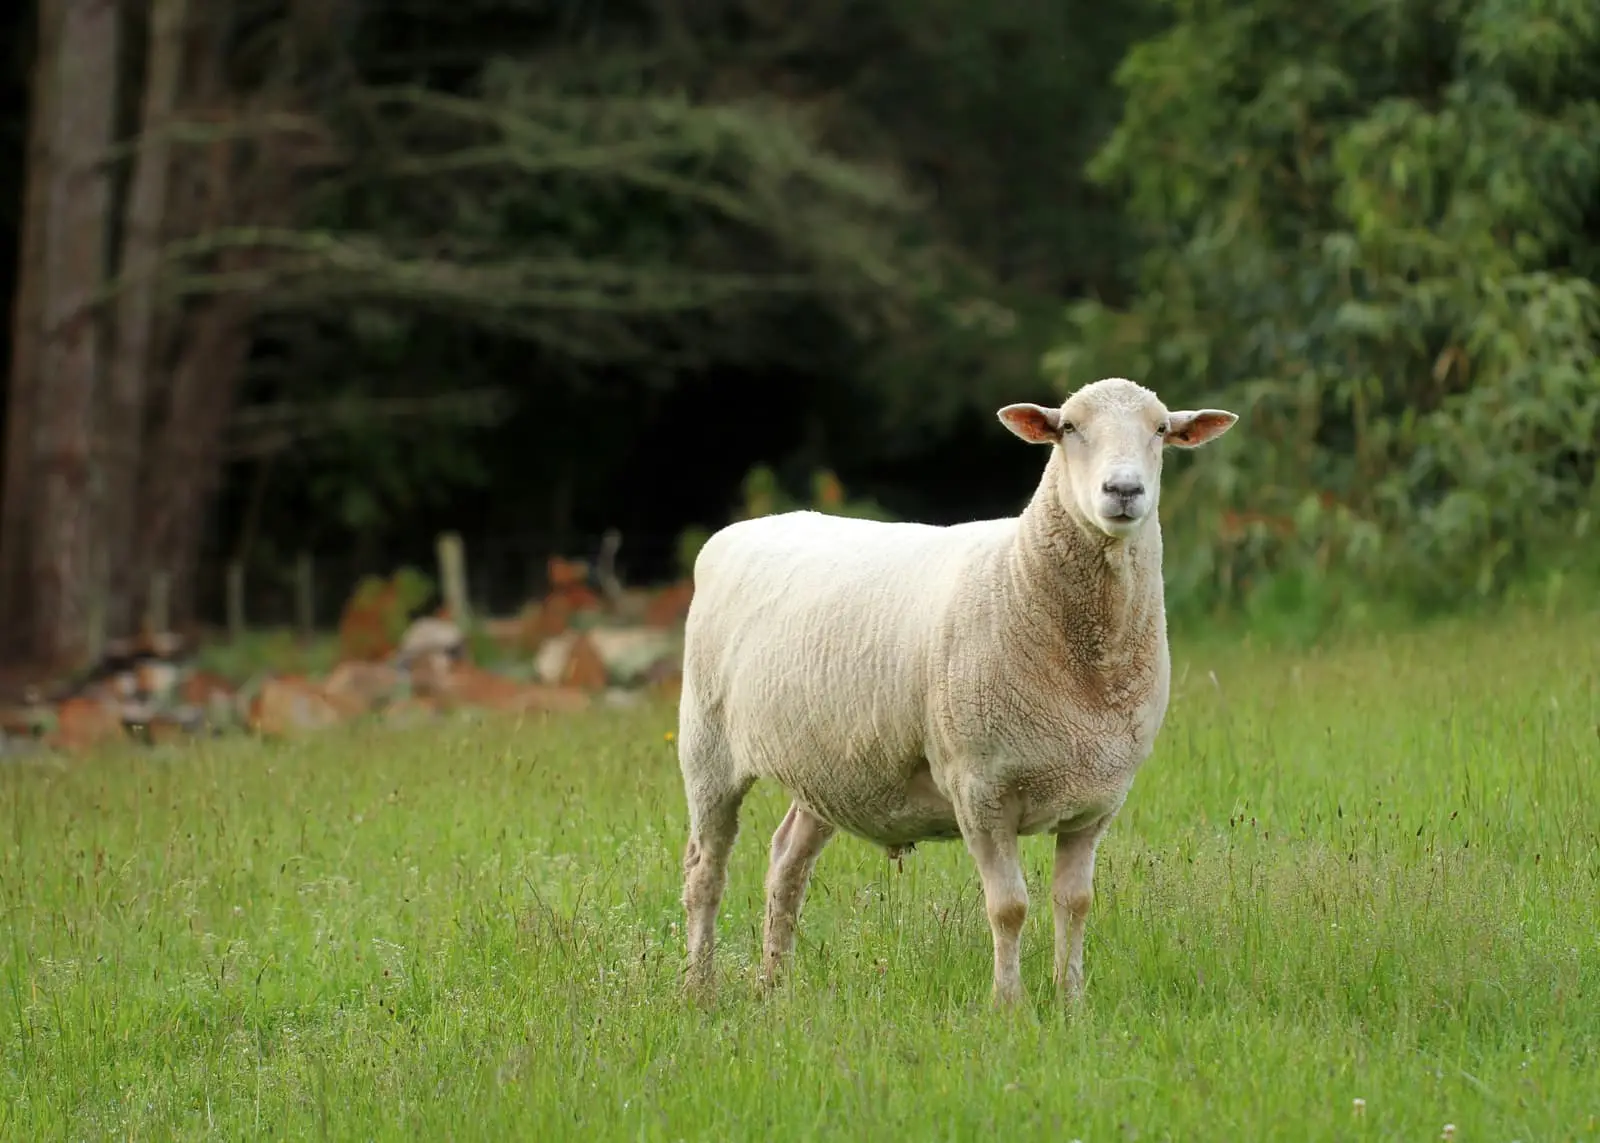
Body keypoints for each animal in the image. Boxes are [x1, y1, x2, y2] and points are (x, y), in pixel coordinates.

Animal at [674, 376, 1238, 1006]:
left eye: (1161, 429)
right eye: (1068, 426)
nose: (1123, 490)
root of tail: (741, 531)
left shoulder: (1096, 801)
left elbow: (1075, 903)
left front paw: (1070, 1003)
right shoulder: (980, 789)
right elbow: (1009, 908)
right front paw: (1009, 1007)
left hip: (826, 766)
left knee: (786, 862)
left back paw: (774, 987)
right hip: (707, 746)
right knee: (705, 871)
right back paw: (699, 987)